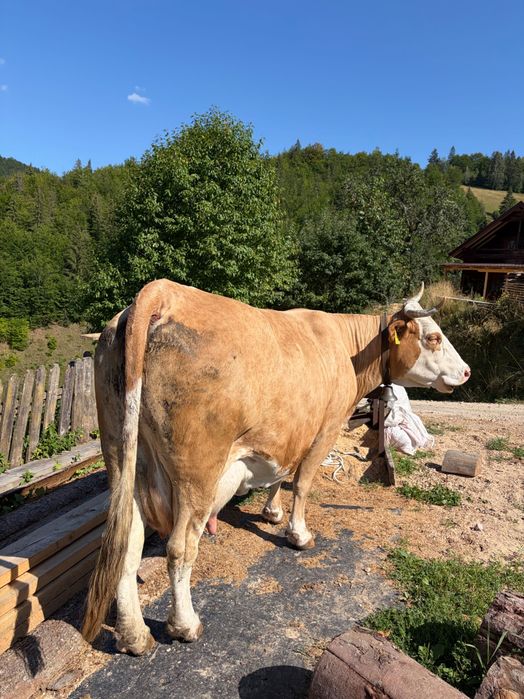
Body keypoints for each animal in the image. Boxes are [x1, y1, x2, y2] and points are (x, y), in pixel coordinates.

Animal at [82, 279, 470, 654]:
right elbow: (302, 483)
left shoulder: (288, 433)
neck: (347, 347)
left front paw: (272, 512)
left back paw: (134, 636)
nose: (466, 371)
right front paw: (298, 534)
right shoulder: (325, 429)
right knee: (180, 548)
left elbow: (280, 476)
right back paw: (185, 625)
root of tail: (162, 291)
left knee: (125, 547)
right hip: (198, 471)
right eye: (433, 337)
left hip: (123, 458)